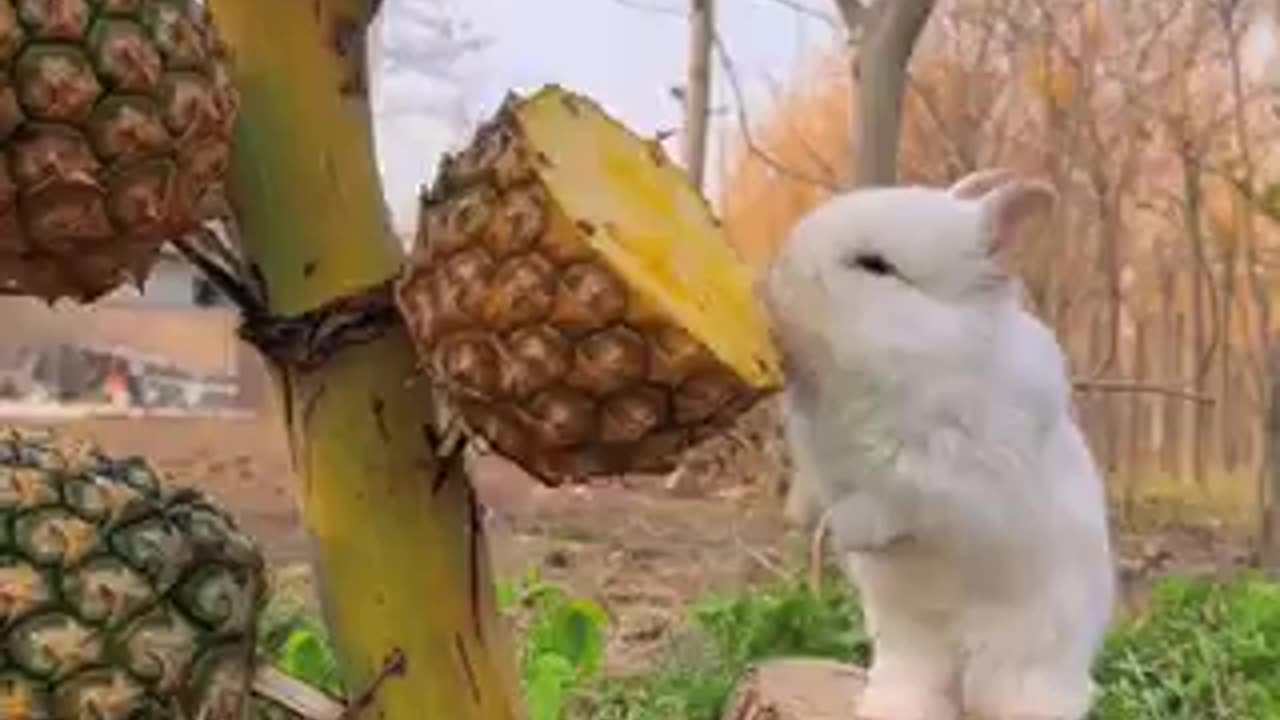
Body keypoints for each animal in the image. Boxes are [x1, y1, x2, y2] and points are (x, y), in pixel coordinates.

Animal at [757, 169, 1111, 717]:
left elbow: (894, 502)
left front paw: (848, 533)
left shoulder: (948, 477)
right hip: (909, 649)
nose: (773, 280)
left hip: (1028, 663)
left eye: (876, 265)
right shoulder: (825, 462)